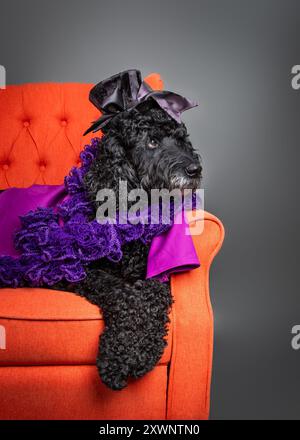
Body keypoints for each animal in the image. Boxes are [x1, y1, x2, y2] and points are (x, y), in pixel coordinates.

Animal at [52, 104, 202, 392]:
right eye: (152, 141)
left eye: (181, 140)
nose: (195, 169)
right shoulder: (78, 273)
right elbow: (122, 293)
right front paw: (118, 358)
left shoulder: (153, 275)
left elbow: (154, 296)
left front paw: (142, 351)